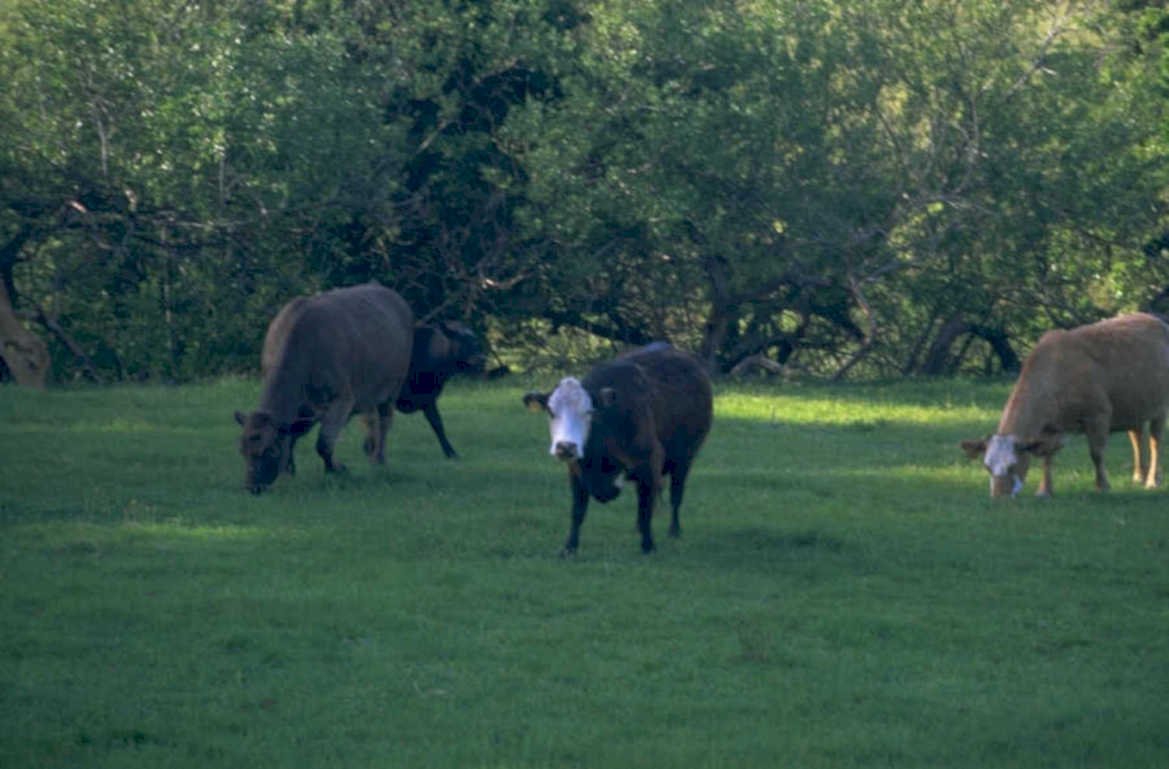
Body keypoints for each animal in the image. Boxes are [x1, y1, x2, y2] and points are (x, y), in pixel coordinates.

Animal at [234, 282, 413, 493]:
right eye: (242, 450)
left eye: (270, 450)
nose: (252, 487)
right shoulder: (304, 410)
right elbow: (292, 436)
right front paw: (288, 472)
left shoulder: (342, 399)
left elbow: (324, 443)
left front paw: (337, 469)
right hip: (366, 396)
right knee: (370, 421)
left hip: (392, 389)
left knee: (384, 423)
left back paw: (379, 460)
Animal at [395, 321, 486, 458]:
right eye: (462, 340)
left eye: (476, 341)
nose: (482, 359)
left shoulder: (428, 398)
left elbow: (437, 423)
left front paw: (451, 453)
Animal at [523, 343, 713, 555]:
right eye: (550, 411)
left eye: (589, 412)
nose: (566, 447)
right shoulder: (575, 470)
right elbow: (578, 511)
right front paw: (569, 548)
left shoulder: (650, 462)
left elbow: (647, 507)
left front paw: (648, 546)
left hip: (685, 459)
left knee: (675, 496)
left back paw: (674, 530)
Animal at [960, 312, 1169, 497]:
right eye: (987, 467)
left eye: (1012, 465)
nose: (998, 497)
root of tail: (1153, 319)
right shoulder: (1049, 429)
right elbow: (1047, 456)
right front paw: (1044, 490)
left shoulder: (1098, 415)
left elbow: (1096, 453)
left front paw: (1102, 486)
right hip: (1133, 406)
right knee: (1137, 436)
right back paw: (1139, 476)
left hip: (1160, 407)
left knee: (1155, 441)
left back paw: (1152, 480)